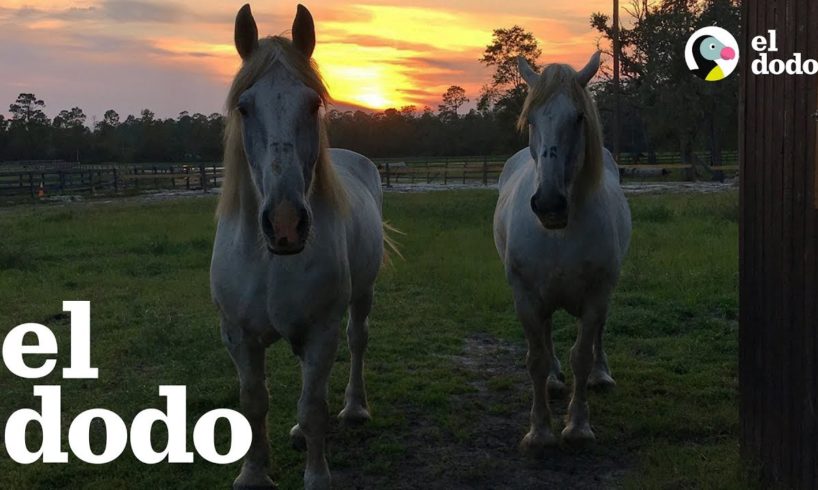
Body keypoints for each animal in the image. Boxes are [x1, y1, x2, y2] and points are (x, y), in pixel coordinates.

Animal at [207, 4, 392, 490]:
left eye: (313, 104)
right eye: (244, 107)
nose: (285, 224)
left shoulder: (321, 331)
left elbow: (313, 408)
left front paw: (317, 475)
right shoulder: (238, 335)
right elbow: (253, 403)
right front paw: (253, 474)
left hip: (362, 296)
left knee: (358, 341)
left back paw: (355, 408)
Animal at [490, 53, 632, 452]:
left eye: (579, 117)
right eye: (531, 119)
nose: (549, 204)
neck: (560, 233)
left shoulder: (598, 295)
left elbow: (581, 356)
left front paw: (578, 426)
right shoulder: (526, 297)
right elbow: (536, 359)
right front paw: (539, 432)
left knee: (597, 336)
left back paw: (601, 375)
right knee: (548, 334)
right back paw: (554, 380)